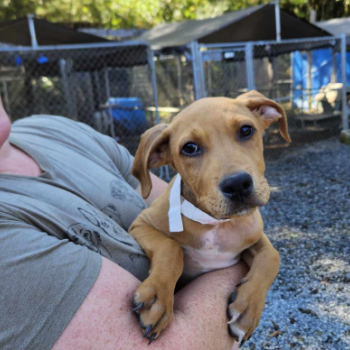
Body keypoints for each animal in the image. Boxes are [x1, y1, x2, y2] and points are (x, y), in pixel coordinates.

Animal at [129, 89, 290, 344]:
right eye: (189, 148)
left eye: (246, 130)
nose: (238, 184)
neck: (215, 223)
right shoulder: (140, 223)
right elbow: (170, 247)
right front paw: (158, 297)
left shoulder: (255, 236)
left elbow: (272, 257)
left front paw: (248, 308)